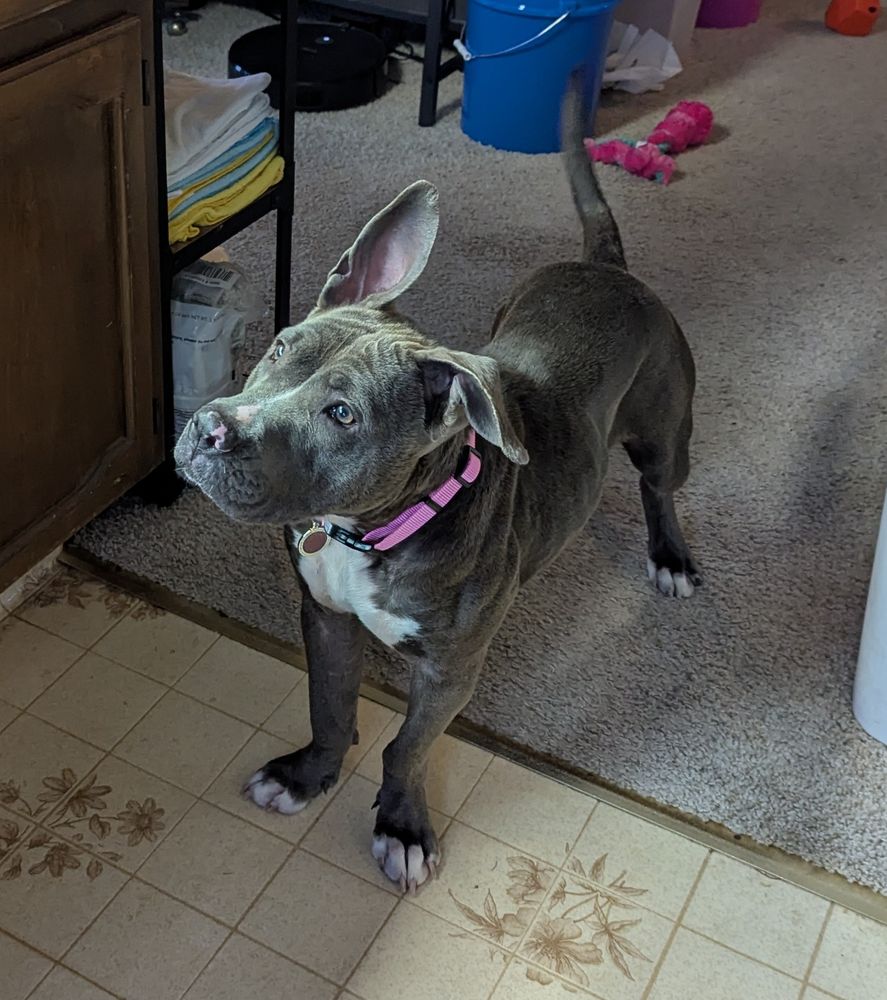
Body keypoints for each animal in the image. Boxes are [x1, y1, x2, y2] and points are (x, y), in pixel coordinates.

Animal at [173, 76, 700, 892]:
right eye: (280, 346)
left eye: (343, 414)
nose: (209, 429)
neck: (373, 529)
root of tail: (611, 271)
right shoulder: (324, 619)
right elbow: (328, 706)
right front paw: (306, 777)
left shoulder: (451, 674)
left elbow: (407, 749)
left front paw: (402, 826)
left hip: (665, 428)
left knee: (660, 484)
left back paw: (669, 556)